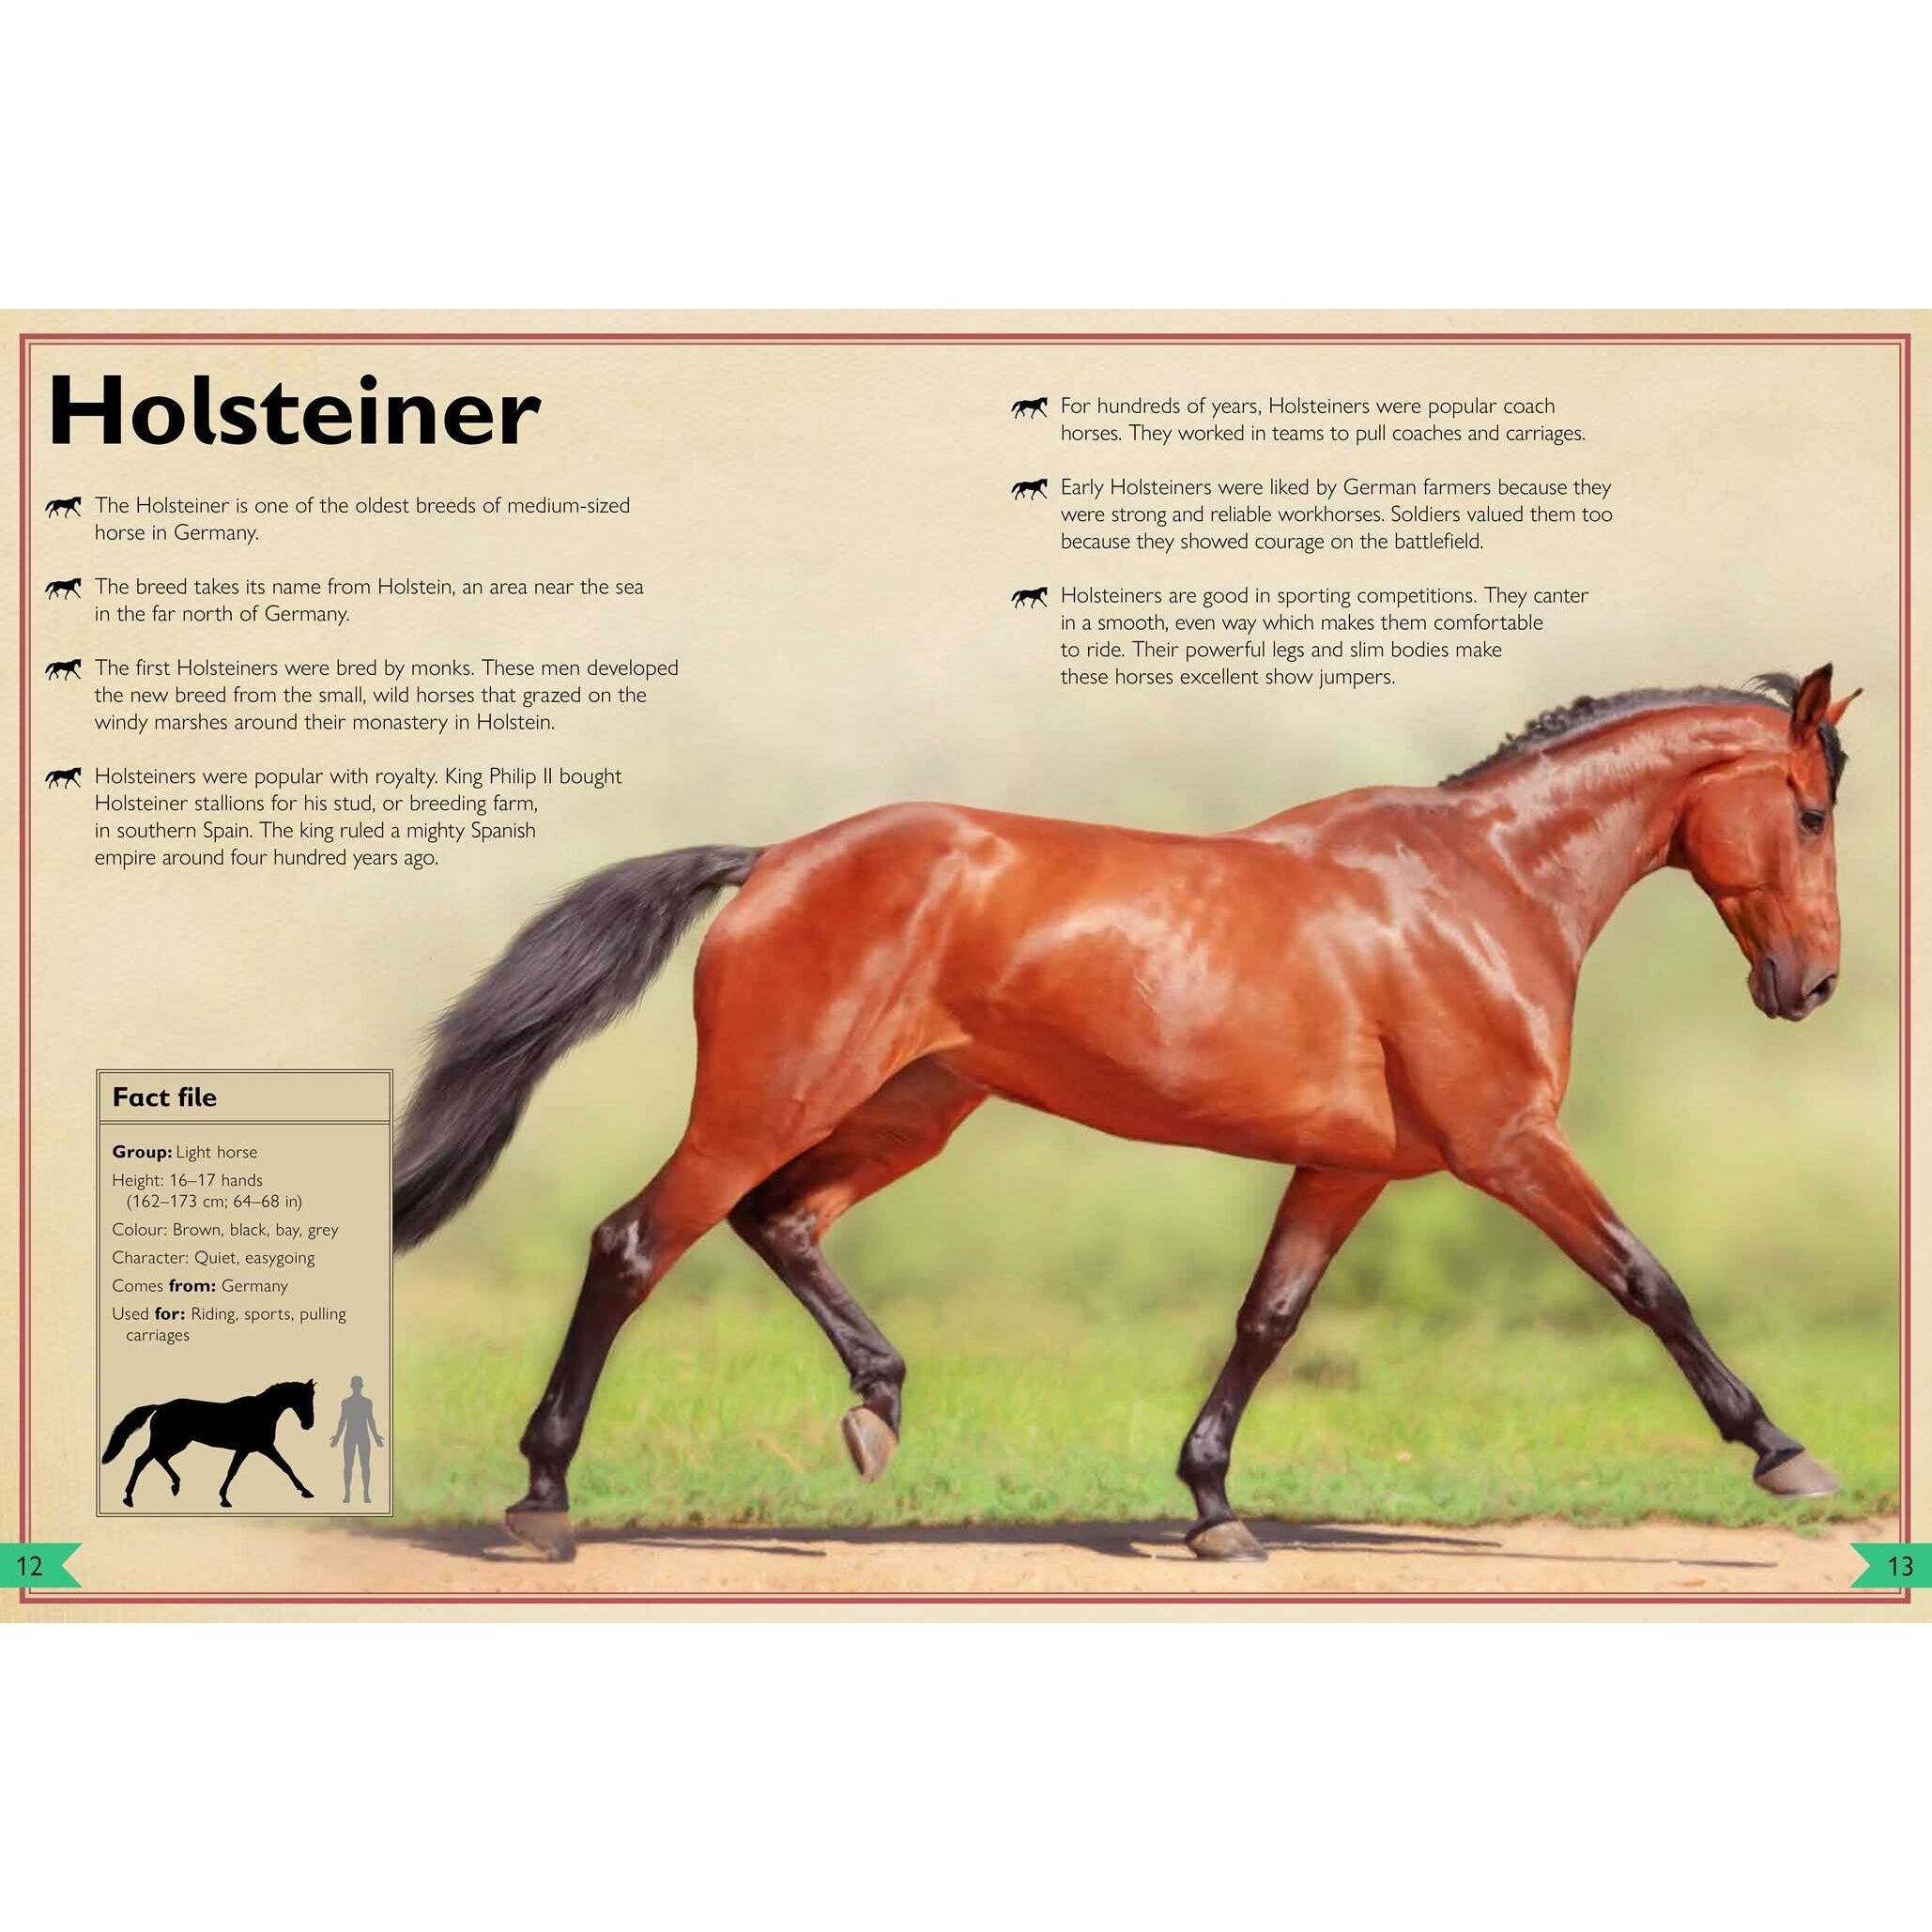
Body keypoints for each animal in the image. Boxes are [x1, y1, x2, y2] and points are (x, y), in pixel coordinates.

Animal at [102, 1379, 317, 1508]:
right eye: (304, 1398)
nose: (308, 1424)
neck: (262, 1412)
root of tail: (161, 1407)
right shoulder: (257, 1448)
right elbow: (282, 1467)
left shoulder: (252, 1449)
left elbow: (281, 1467)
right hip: (168, 1441)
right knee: (143, 1460)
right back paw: (129, 1498)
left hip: (178, 1443)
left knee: (159, 1458)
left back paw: (175, 1486)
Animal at [393, 667, 1860, 1563]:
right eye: (1807, 808)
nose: (1810, 985)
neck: (1477, 886)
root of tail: (773, 860)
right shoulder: (1508, 1146)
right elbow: (1646, 1279)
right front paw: (1782, 1451)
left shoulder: (1345, 1169)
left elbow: (1268, 1320)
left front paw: (1212, 1505)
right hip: (767, 1100)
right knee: (637, 1244)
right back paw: (544, 1496)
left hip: (912, 1106)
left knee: (780, 1221)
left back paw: (878, 1406)